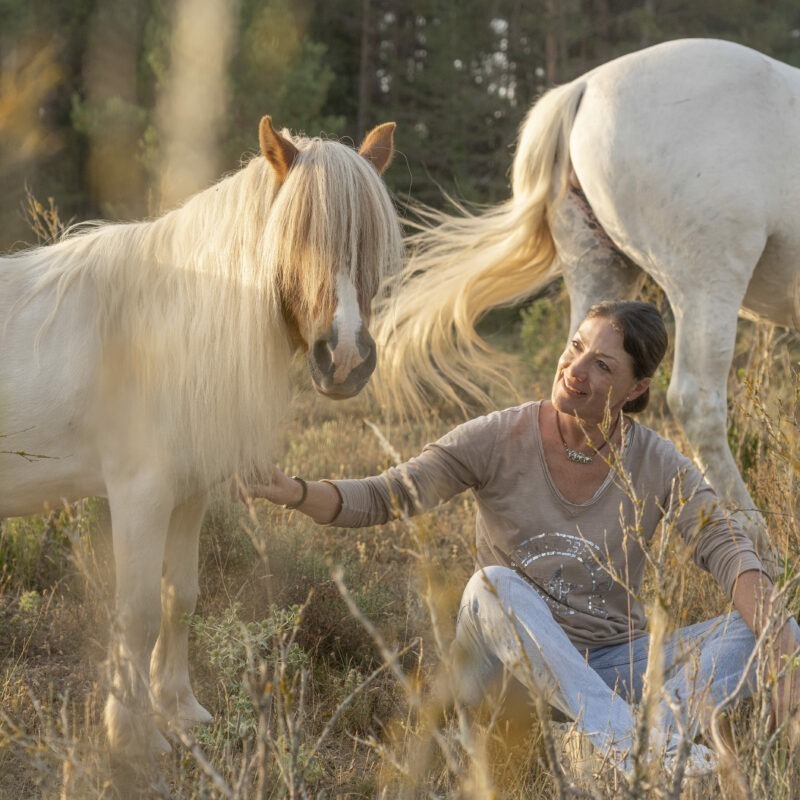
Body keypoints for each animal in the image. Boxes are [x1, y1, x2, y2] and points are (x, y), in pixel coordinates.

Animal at [0, 117, 400, 756]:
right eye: (296, 236)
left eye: (367, 242)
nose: (344, 361)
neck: (163, 331)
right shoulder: (139, 497)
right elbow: (137, 612)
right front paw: (133, 737)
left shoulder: (187, 495)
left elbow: (180, 597)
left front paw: (179, 710)